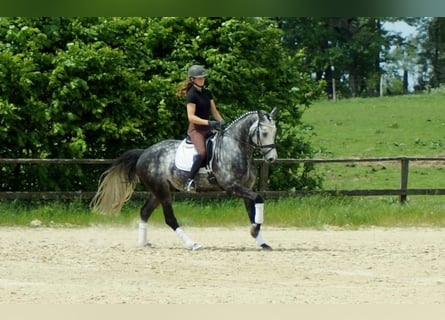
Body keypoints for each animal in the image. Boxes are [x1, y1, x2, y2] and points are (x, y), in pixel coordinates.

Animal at [90, 107, 278, 250]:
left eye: (274, 132)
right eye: (264, 132)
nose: (271, 159)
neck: (237, 148)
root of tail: (144, 153)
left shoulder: (247, 188)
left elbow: (253, 212)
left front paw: (261, 240)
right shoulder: (233, 187)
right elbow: (259, 199)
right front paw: (254, 232)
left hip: (159, 190)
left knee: (144, 212)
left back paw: (143, 243)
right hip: (162, 191)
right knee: (170, 219)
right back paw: (192, 244)